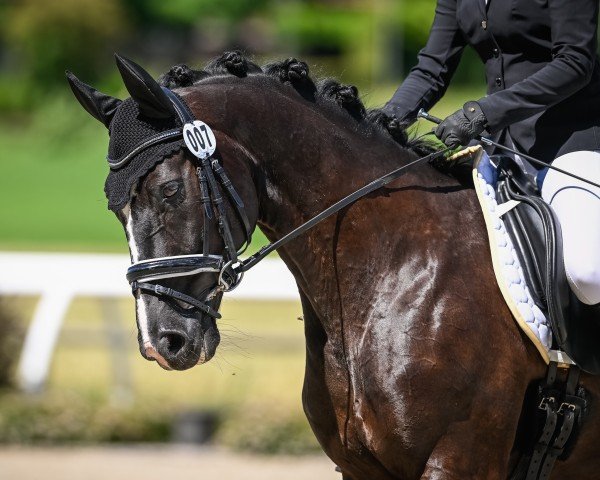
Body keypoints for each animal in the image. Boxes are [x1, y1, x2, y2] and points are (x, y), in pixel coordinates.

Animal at [67, 54, 600, 478]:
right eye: (115, 209)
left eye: (170, 190)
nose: (162, 342)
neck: (389, 269)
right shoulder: (360, 468)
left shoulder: (458, 460)